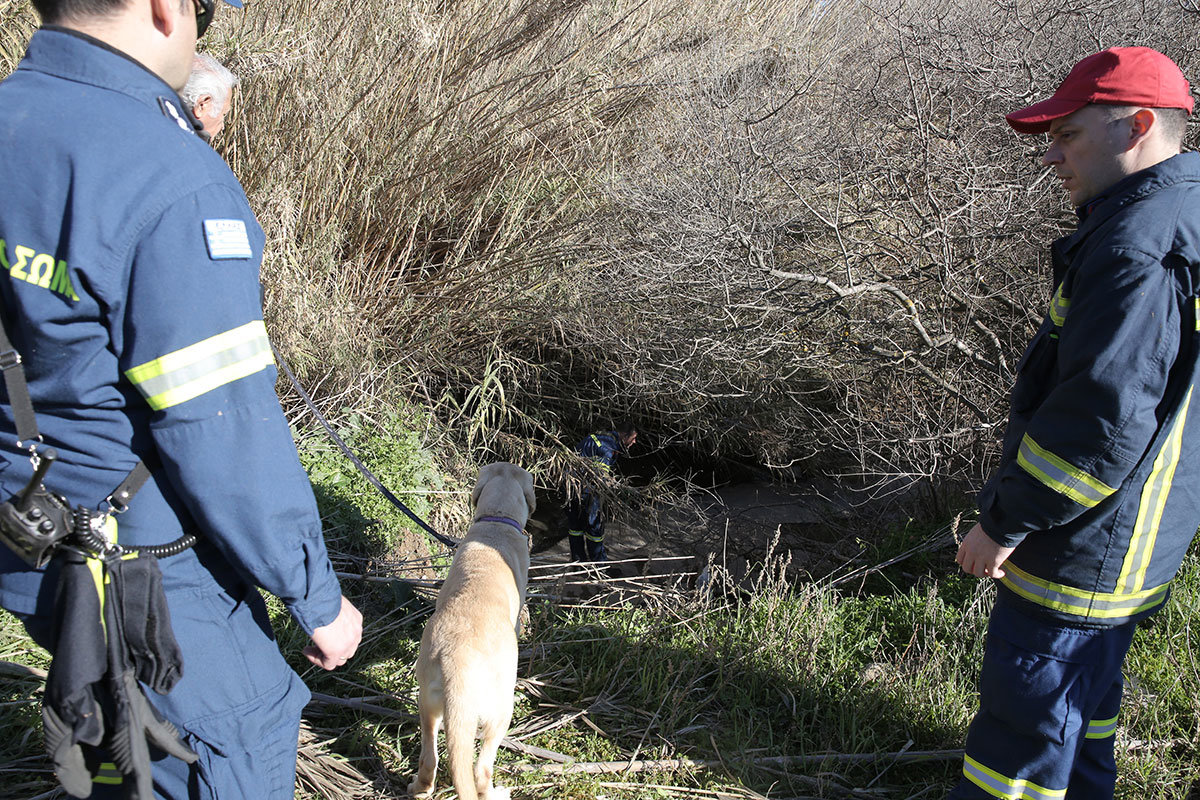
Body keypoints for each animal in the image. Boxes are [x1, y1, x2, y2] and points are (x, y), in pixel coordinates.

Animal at [408, 462, 535, 800]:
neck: (497, 519)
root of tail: (458, 661)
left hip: (428, 703)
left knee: (429, 757)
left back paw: (420, 788)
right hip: (499, 712)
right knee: (481, 770)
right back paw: (496, 792)